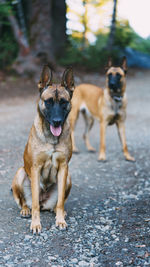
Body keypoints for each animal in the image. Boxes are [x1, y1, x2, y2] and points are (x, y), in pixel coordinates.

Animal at [11, 66, 75, 233]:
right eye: (49, 102)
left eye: (64, 102)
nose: (57, 121)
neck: (51, 139)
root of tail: (43, 201)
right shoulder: (35, 168)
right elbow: (33, 204)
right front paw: (35, 224)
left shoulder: (64, 167)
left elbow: (60, 201)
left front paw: (60, 220)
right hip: (20, 173)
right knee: (25, 201)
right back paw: (25, 210)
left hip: (68, 178)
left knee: (57, 203)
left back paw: (59, 212)